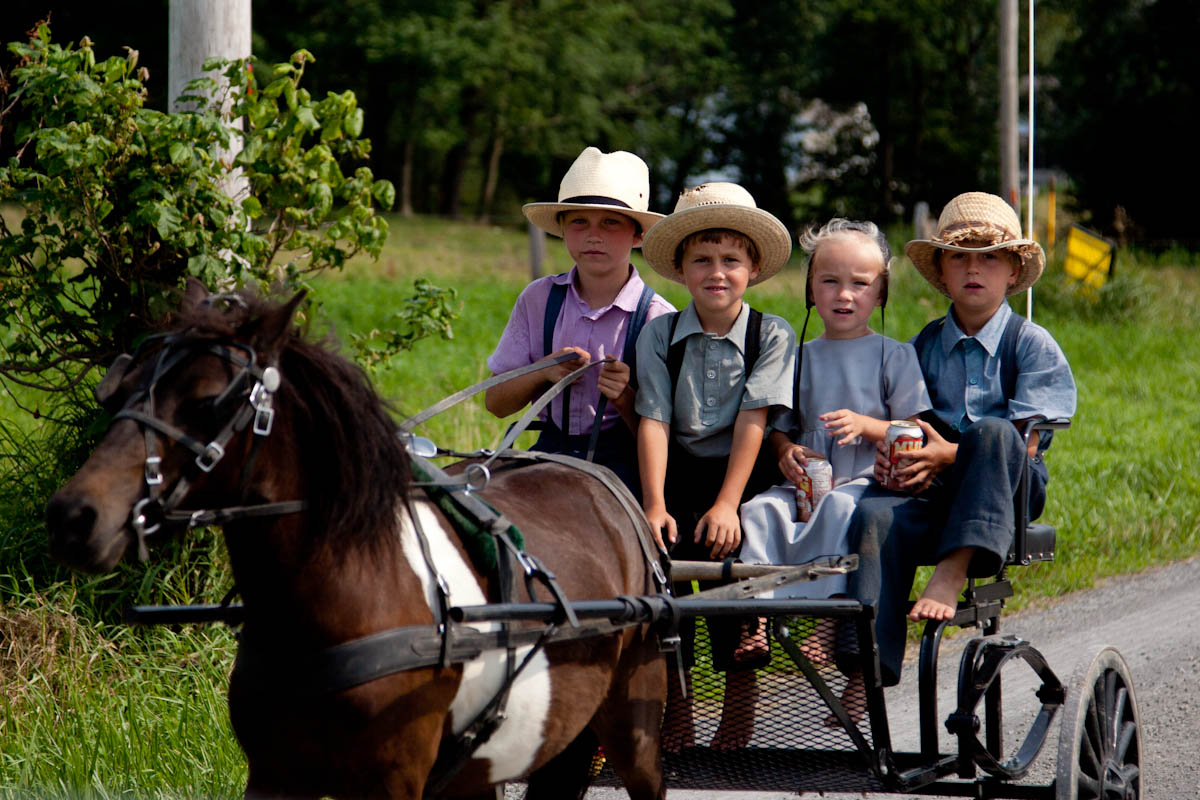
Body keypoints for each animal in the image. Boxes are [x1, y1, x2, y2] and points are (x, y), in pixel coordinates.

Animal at [44, 278, 667, 796]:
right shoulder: (273, 774)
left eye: (206, 402)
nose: (74, 515)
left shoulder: (394, 780)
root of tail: (595, 473)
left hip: (634, 719)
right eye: (121, 388)